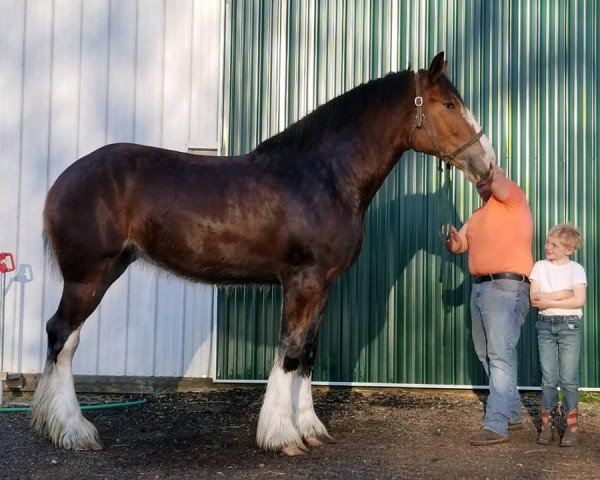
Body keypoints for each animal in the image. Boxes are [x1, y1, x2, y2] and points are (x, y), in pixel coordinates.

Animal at [30, 51, 494, 454]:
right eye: (449, 104)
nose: (487, 164)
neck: (325, 176)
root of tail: (64, 179)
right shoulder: (302, 281)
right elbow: (289, 351)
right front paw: (282, 436)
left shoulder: (323, 286)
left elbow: (308, 353)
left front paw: (311, 429)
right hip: (88, 276)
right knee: (62, 336)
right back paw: (73, 430)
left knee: (64, 338)